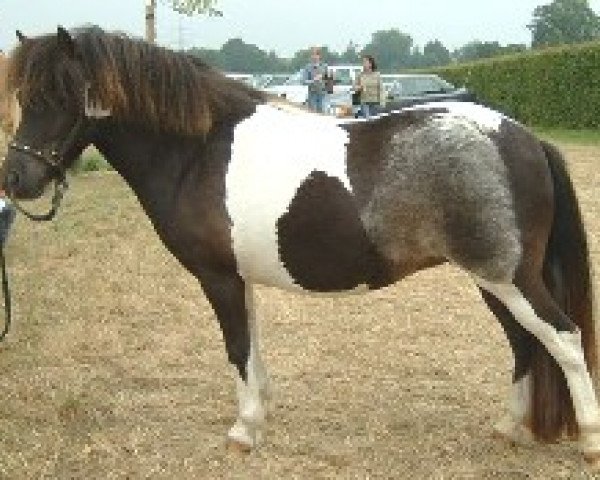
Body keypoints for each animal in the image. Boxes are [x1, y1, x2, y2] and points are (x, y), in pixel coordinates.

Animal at [4, 25, 600, 464]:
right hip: (492, 281)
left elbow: (237, 348)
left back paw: (589, 440)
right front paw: (260, 413)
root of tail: (524, 138)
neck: (198, 151)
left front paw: (243, 432)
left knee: (564, 340)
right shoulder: (238, 278)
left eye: (60, 95)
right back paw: (506, 427)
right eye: (23, 96)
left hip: (509, 278)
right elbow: (252, 347)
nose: (16, 180)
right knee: (525, 346)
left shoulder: (218, 278)